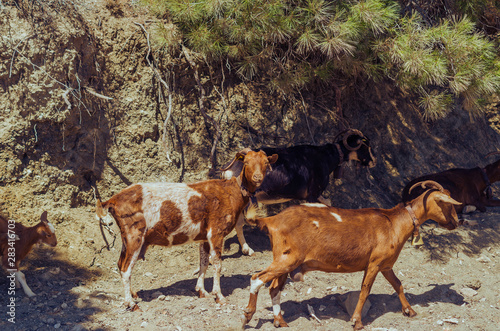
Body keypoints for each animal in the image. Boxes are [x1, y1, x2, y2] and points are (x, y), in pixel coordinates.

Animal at [95, 149, 280, 308]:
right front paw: (219, 296)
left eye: (265, 163)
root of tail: (113, 200)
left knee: (120, 264)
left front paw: (202, 291)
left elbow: (203, 262)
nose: (257, 177)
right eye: (246, 162)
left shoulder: (204, 236)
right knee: (126, 268)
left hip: (127, 239)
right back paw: (130, 303)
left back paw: (134, 294)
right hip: (135, 236)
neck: (231, 192)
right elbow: (217, 263)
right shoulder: (216, 232)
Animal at [242, 183, 460, 330]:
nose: (457, 222)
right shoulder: (374, 264)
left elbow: (398, 284)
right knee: (256, 278)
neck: (394, 222)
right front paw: (357, 321)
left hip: (285, 261)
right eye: (447, 204)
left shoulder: (386, 265)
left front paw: (409, 311)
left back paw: (280, 321)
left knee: (273, 288)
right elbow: (365, 290)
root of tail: (271, 220)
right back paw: (247, 316)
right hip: (287, 259)